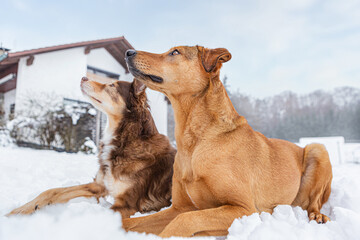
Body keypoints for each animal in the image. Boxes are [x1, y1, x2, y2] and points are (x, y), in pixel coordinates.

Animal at [7, 78, 176, 218]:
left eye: (112, 85)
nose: (83, 77)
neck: (126, 139)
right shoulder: (98, 185)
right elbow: (52, 191)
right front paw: (18, 211)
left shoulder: (126, 204)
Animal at [123, 46, 332, 237]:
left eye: (175, 52)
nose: (128, 52)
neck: (194, 141)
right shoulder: (179, 207)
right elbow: (130, 222)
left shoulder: (244, 209)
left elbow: (186, 220)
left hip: (317, 149)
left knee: (314, 203)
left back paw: (318, 216)